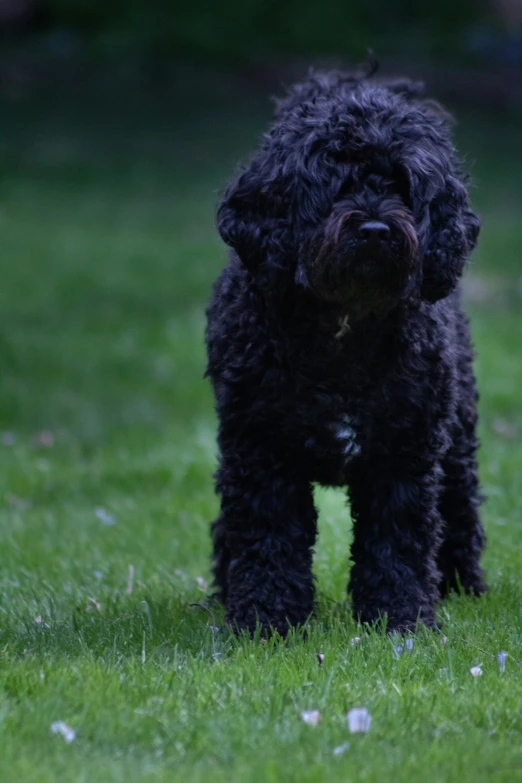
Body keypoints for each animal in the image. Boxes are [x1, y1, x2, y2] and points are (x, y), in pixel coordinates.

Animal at [203, 70, 484, 636]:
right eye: (333, 181)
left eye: (401, 184)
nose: (375, 228)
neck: (345, 329)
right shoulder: (260, 452)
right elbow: (268, 537)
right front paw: (266, 619)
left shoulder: (406, 454)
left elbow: (398, 541)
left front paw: (401, 618)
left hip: (457, 439)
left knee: (460, 508)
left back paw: (463, 585)